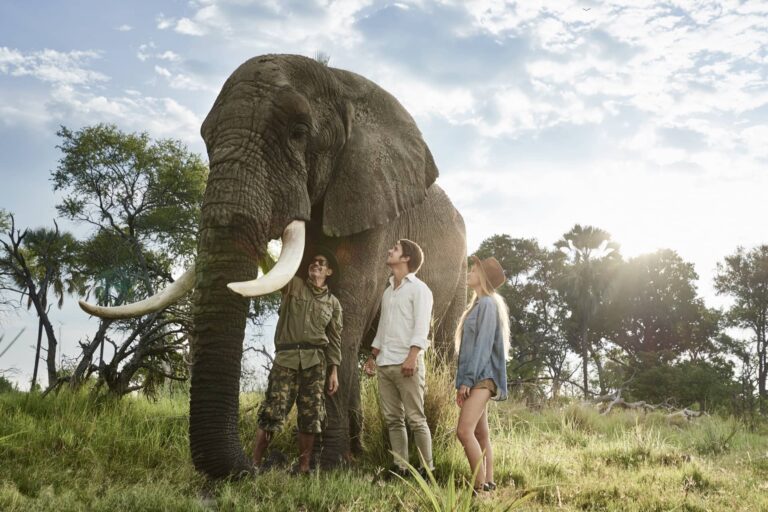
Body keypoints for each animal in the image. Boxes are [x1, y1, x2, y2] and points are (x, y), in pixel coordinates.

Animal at [79, 54, 467, 478]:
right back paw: (358, 452)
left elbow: (345, 316)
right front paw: (326, 462)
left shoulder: (372, 205)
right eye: (206, 140)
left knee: (439, 348)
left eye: (298, 133)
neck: (340, 83)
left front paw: (327, 469)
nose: (254, 468)